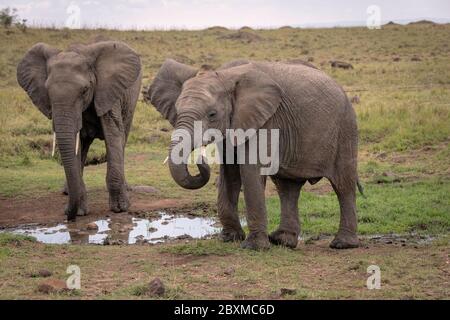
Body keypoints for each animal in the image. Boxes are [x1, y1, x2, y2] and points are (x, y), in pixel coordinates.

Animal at [17, 41, 142, 221]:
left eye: (84, 90)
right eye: (47, 92)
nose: (68, 216)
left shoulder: (108, 94)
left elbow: (113, 135)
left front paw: (120, 209)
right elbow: (75, 143)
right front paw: (80, 212)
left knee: (122, 137)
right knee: (83, 145)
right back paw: (67, 191)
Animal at [146, 59, 360, 250]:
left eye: (212, 114)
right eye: (176, 110)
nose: (200, 159)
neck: (225, 76)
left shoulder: (266, 120)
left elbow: (249, 170)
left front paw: (253, 247)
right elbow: (230, 171)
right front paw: (229, 238)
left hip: (345, 128)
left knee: (343, 185)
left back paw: (342, 244)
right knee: (287, 187)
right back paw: (282, 241)